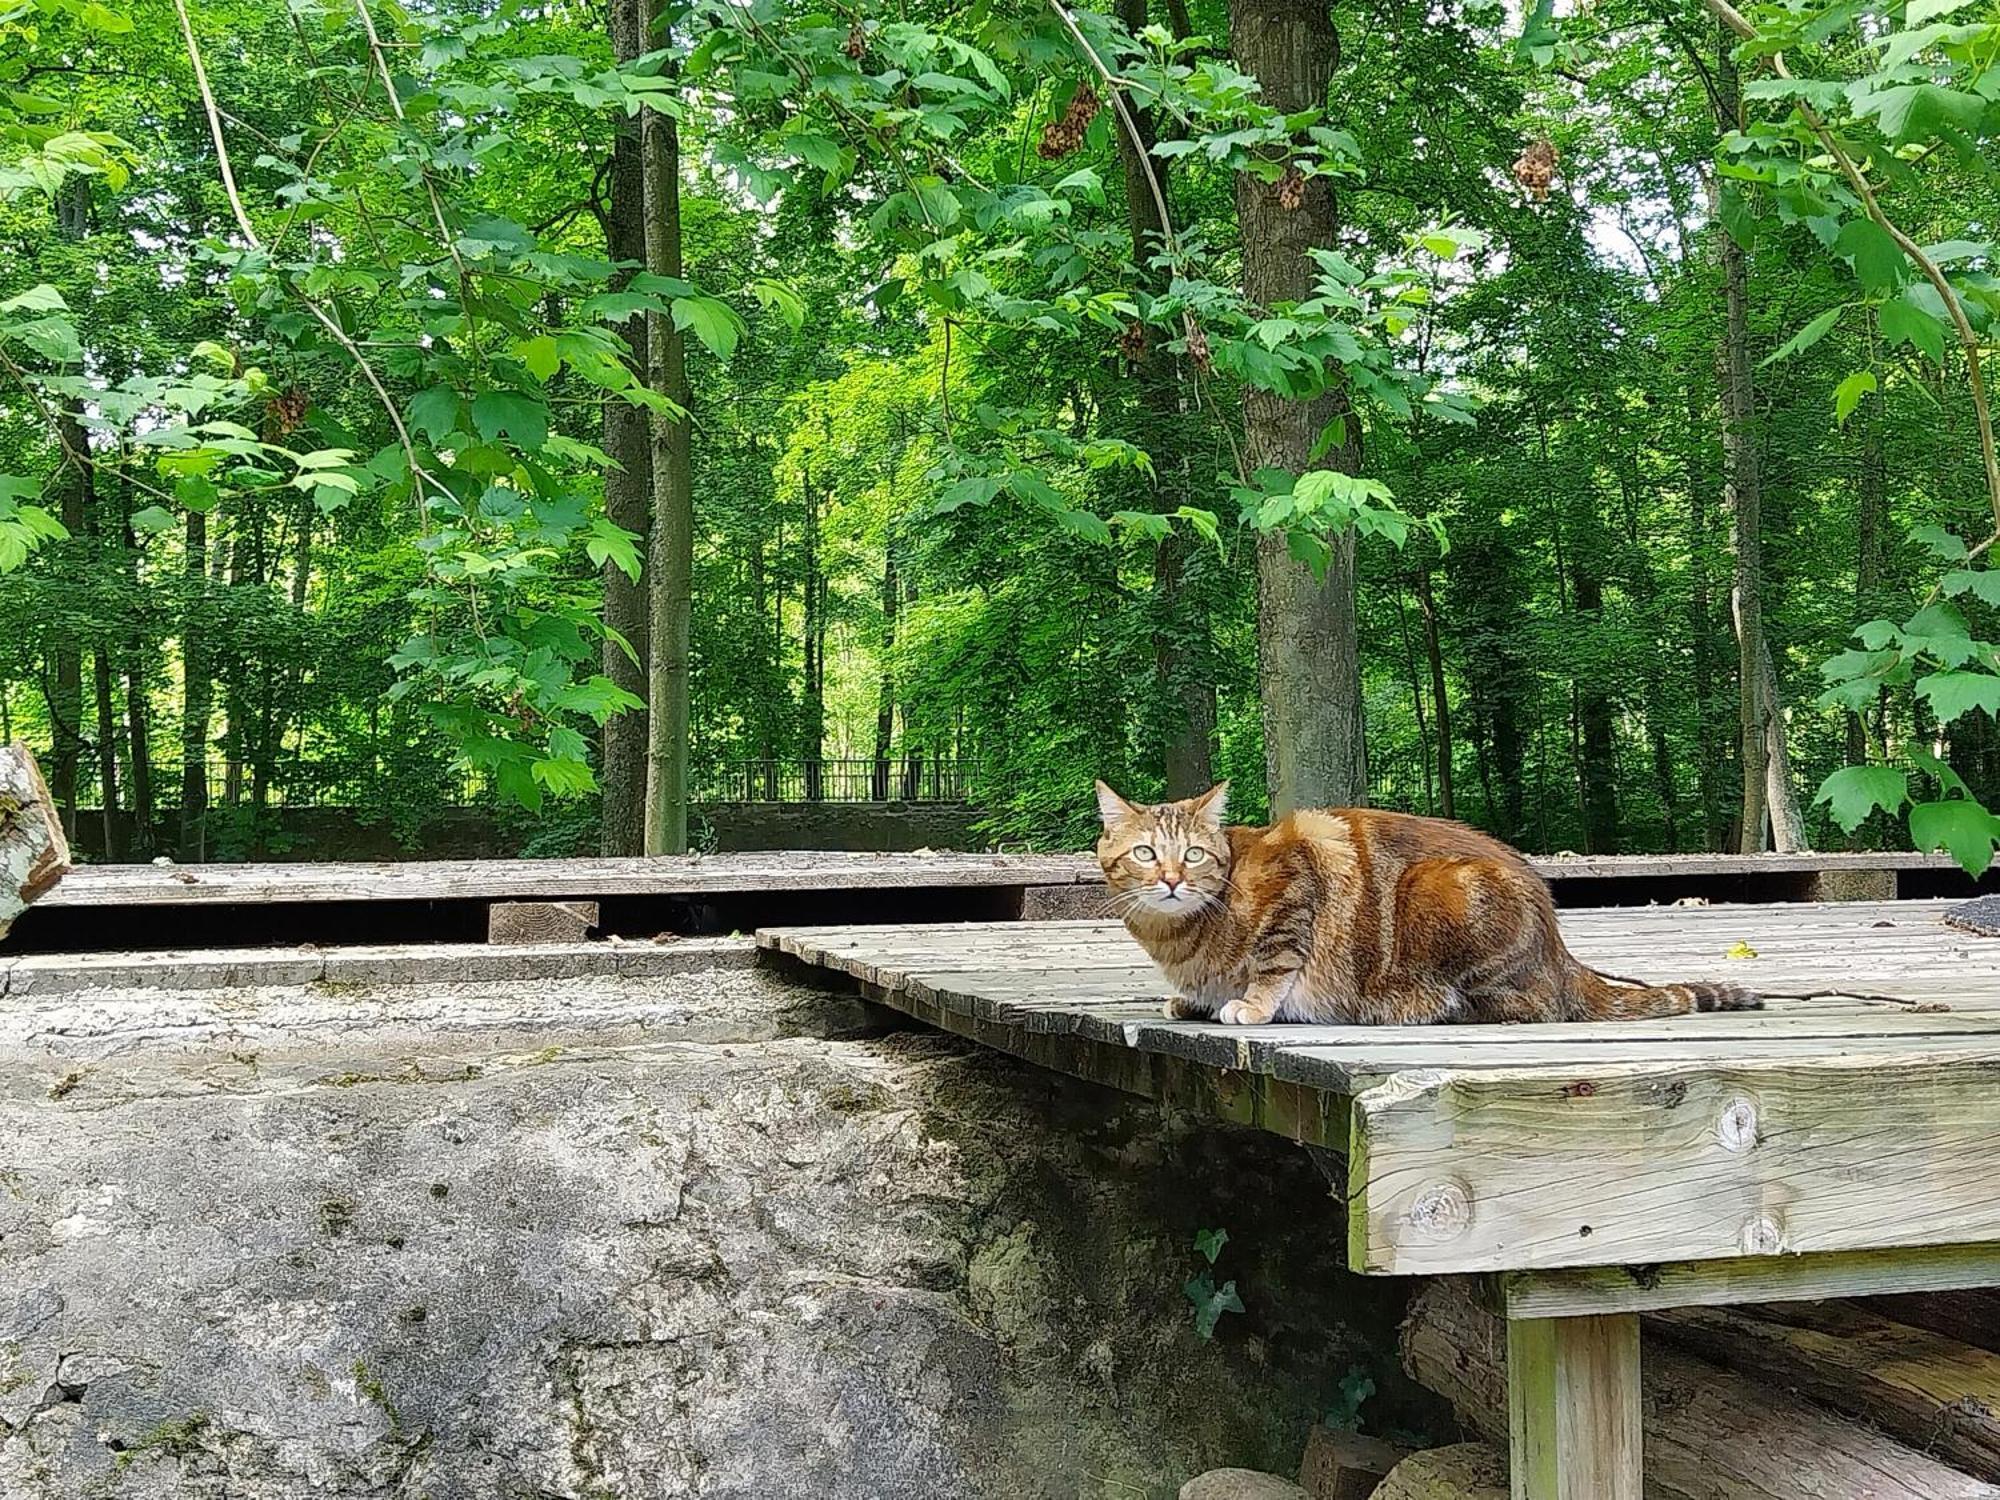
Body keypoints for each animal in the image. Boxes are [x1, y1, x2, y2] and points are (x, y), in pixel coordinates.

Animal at [1096, 788, 1768, 1024]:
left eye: (1195, 855)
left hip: (1440, 890)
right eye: (1146, 853)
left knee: (1527, 1009)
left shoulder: (1296, 888)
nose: (1173, 880)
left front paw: (1251, 1005)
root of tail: (1561, 952)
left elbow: (1274, 964)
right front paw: (1194, 999)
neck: (1177, 938)